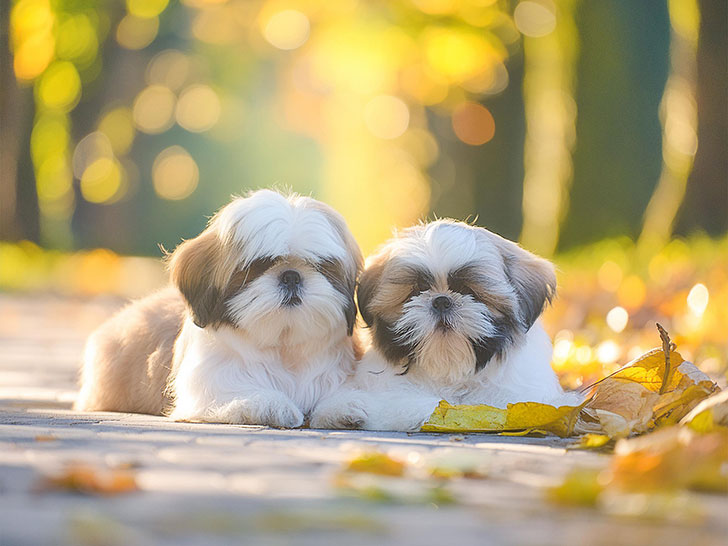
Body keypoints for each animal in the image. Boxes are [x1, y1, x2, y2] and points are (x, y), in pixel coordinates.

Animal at [74, 189, 364, 428]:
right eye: (258, 266)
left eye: (321, 266)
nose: (291, 276)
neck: (283, 347)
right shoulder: (210, 388)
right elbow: (243, 396)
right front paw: (275, 405)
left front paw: (345, 407)